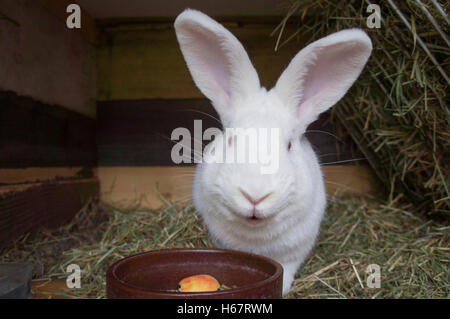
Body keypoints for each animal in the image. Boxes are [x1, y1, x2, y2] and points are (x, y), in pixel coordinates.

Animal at [174, 8, 370, 298]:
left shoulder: (295, 250)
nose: (255, 196)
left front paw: (284, 287)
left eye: (288, 145)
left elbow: (287, 268)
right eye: (230, 139)